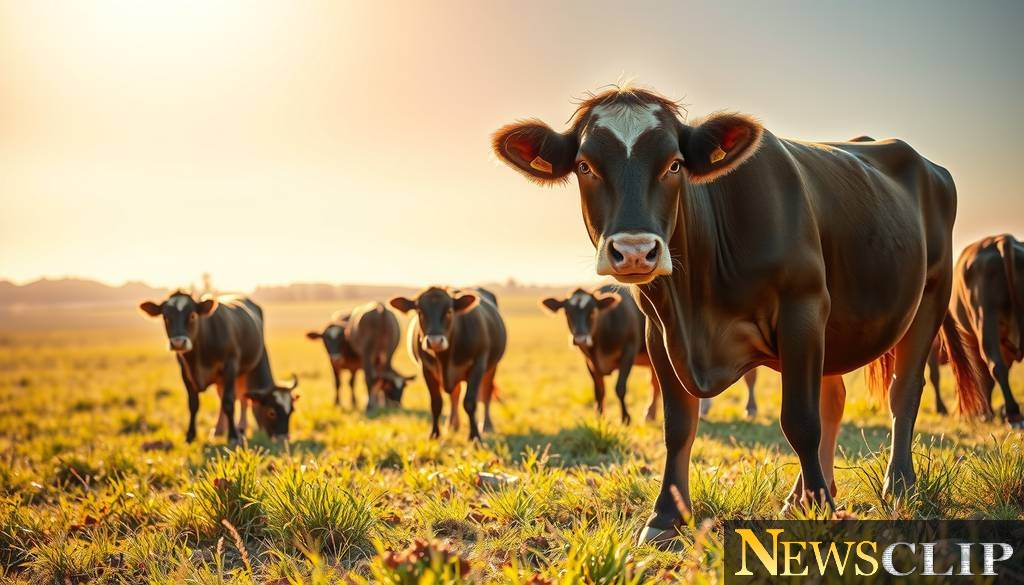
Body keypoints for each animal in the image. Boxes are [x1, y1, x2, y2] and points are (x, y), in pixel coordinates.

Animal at [139, 292, 298, 443]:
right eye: (165, 317)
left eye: (192, 315)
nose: (178, 342)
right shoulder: (185, 373)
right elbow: (194, 404)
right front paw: (190, 436)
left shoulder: (231, 366)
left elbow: (229, 401)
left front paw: (233, 435)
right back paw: (220, 430)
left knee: (240, 399)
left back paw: (239, 427)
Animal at [389, 287, 506, 441]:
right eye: (420, 312)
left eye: (449, 311)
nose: (435, 341)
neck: (444, 358)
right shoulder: (426, 370)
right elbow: (436, 403)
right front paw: (434, 433)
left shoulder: (478, 366)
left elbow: (470, 402)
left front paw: (474, 436)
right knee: (455, 395)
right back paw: (452, 424)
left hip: (491, 367)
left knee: (485, 393)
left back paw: (486, 425)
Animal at [541, 285, 660, 423]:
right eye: (567, 313)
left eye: (592, 312)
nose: (580, 339)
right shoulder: (590, 362)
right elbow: (599, 391)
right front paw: (599, 417)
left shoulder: (629, 352)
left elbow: (620, 388)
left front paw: (625, 418)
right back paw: (650, 415)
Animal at [940, 234, 1024, 425]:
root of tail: (1002, 239)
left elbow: (982, 376)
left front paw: (985, 412)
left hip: (984, 318)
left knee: (995, 366)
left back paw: (1012, 412)